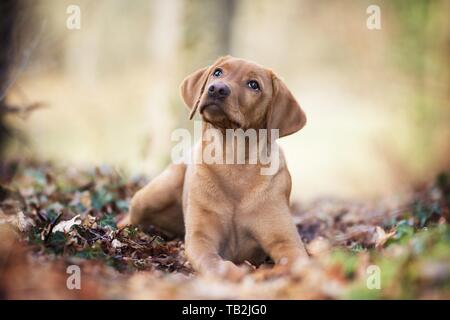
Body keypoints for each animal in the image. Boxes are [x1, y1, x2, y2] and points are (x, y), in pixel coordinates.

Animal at [118, 55, 310, 278]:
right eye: (218, 72)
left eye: (254, 85)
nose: (217, 88)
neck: (233, 162)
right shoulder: (201, 239)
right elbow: (216, 264)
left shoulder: (287, 241)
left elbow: (295, 263)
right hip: (151, 194)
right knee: (130, 216)